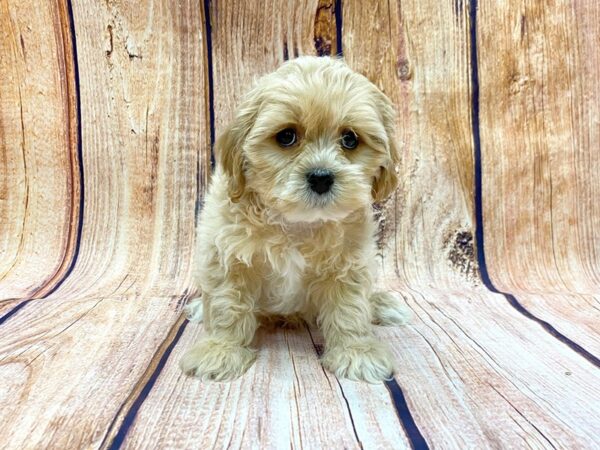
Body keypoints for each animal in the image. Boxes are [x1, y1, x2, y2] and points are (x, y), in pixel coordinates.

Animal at [180, 54, 408, 382]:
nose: (321, 177)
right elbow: (227, 306)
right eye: (286, 136)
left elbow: (350, 310)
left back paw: (381, 305)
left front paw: (356, 352)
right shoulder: (225, 256)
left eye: (350, 139)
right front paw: (220, 351)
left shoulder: (349, 263)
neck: (297, 222)